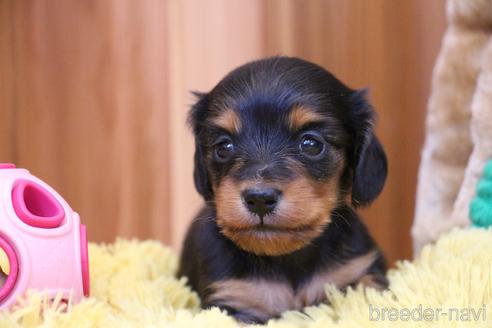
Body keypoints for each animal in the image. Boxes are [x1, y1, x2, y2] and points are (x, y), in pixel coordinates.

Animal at [177, 56, 388, 322]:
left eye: (311, 144)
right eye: (223, 147)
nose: (259, 199)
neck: (286, 258)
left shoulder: (360, 273)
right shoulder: (232, 302)